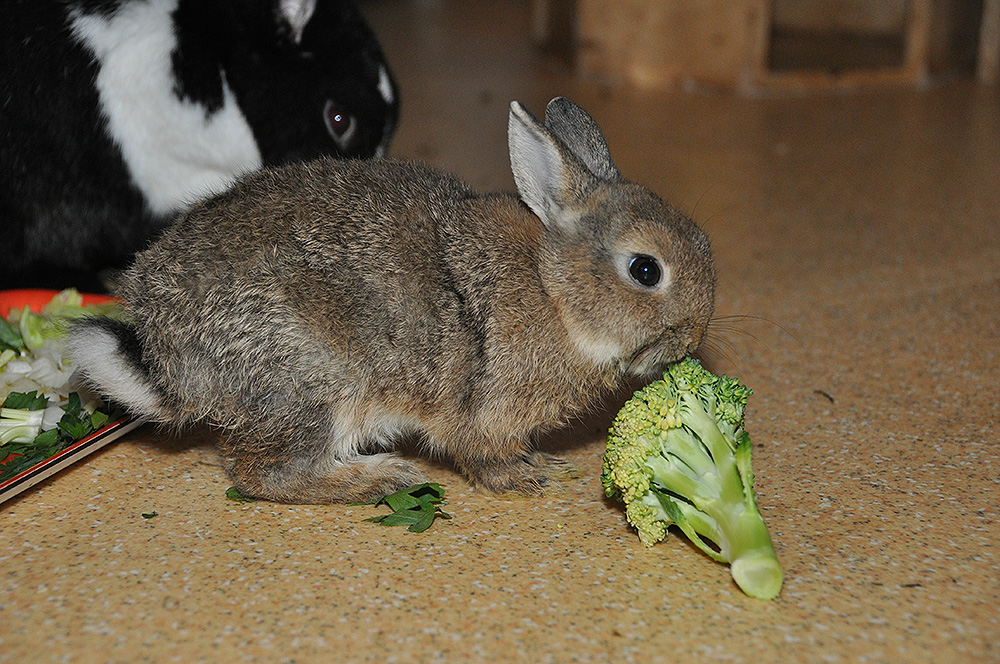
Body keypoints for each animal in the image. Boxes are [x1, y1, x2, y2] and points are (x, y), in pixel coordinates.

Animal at [66, 97, 716, 504]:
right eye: (645, 270)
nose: (692, 337)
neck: (556, 290)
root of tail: (166, 358)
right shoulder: (485, 412)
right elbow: (482, 453)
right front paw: (529, 477)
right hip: (318, 386)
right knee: (261, 473)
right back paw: (381, 479)